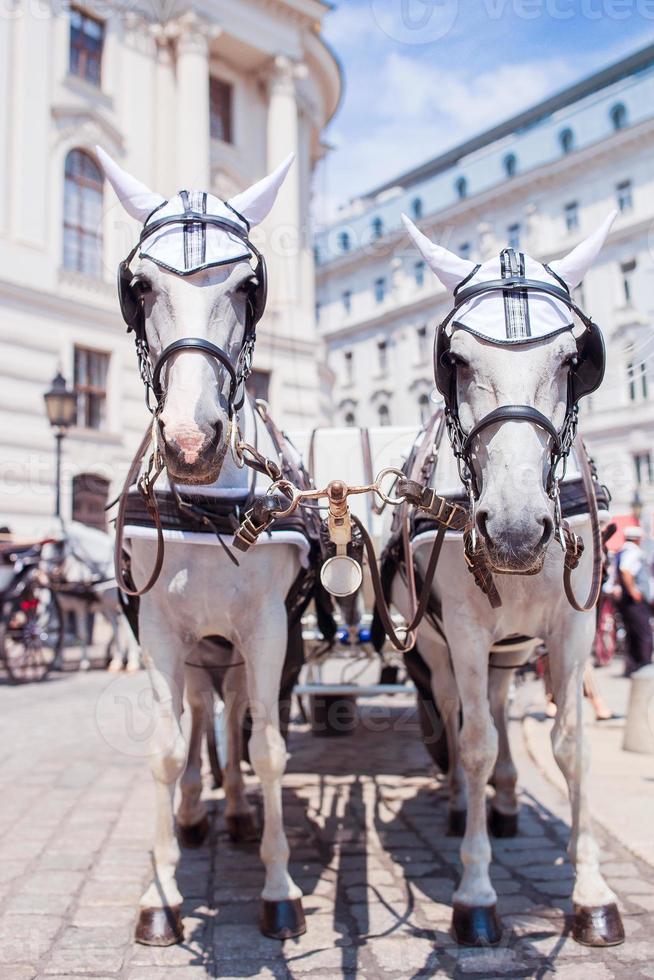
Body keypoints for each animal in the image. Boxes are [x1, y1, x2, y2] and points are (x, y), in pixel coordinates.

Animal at [98, 149, 312, 944]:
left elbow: (267, 748)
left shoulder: (270, 628)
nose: (192, 443)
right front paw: (159, 894)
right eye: (138, 286)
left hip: (240, 648)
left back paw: (241, 814)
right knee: (197, 719)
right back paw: (194, 813)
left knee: (236, 713)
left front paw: (279, 887)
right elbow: (166, 747)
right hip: (197, 648)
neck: (210, 504)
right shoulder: (160, 629)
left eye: (249, 285)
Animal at [390, 211, 624, 944]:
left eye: (575, 361)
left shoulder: (573, 627)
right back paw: (465, 805)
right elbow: (473, 745)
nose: (516, 531)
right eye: (456, 361)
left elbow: (572, 747)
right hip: (441, 648)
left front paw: (592, 891)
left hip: (512, 649)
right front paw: (476, 892)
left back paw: (510, 801)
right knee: (459, 713)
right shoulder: (465, 632)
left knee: (495, 702)